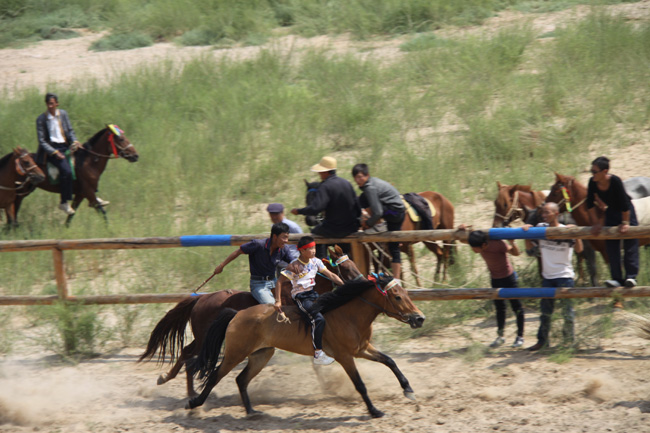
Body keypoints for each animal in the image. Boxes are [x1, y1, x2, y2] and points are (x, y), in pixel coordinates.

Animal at [139, 245, 362, 396]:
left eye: (353, 264)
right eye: (347, 268)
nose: (364, 281)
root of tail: (200, 298)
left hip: (203, 336)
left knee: (186, 352)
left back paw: (171, 381)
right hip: (205, 337)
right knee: (189, 355)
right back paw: (186, 390)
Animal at [185, 274, 422, 418]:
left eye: (406, 294)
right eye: (397, 297)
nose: (420, 318)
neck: (348, 315)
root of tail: (236, 314)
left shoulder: (362, 350)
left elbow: (390, 361)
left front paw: (409, 390)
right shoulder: (346, 357)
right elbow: (360, 384)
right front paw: (374, 411)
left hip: (261, 354)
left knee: (241, 379)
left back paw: (252, 412)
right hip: (235, 353)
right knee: (215, 375)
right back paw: (194, 403)